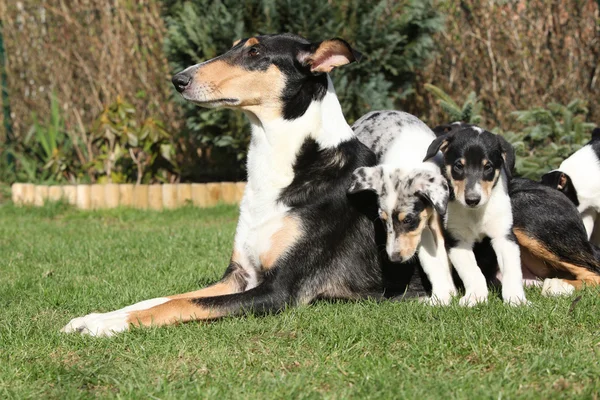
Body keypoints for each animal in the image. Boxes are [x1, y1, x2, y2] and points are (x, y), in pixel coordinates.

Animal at [346, 111, 454, 304]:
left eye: (408, 220)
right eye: (382, 221)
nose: (394, 259)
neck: (408, 157)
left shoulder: (435, 217)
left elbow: (441, 253)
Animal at [424, 123, 528, 304]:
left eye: (488, 167)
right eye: (459, 166)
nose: (472, 199)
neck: (475, 214)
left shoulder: (505, 236)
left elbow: (512, 271)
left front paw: (516, 299)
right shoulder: (457, 240)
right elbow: (472, 271)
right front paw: (475, 297)